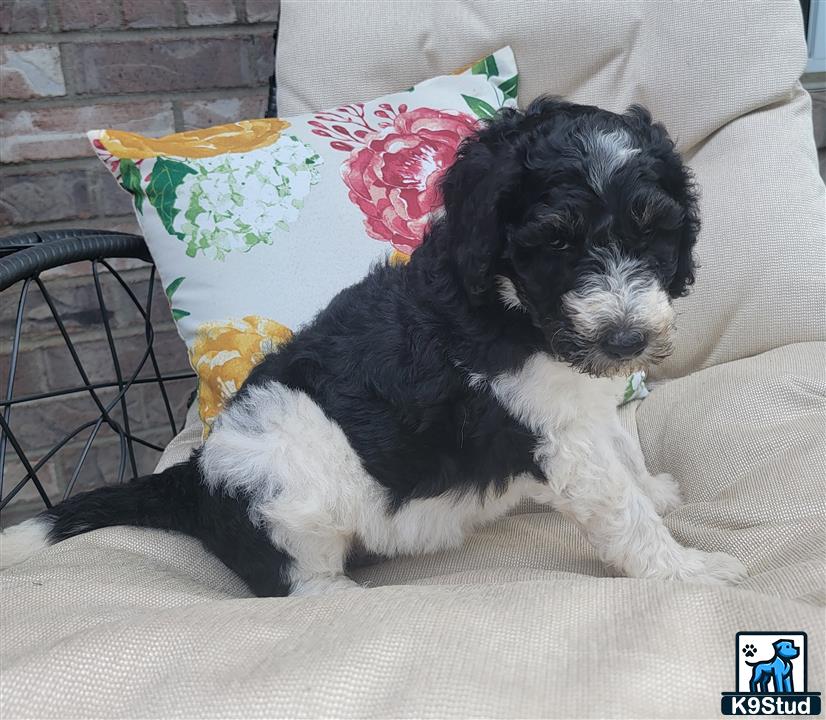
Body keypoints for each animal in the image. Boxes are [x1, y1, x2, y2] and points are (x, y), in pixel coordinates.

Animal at [0, 100, 748, 596]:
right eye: (557, 241)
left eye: (654, 233)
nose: (625, 339)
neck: (509, 303)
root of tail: (194, 477)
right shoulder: (558, 435)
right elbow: (622, 510)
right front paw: (689, 570)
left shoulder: (586, 409)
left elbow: (626, 455)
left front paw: (657, 490)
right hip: (283, 478)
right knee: (298, 582)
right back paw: (340, 599)